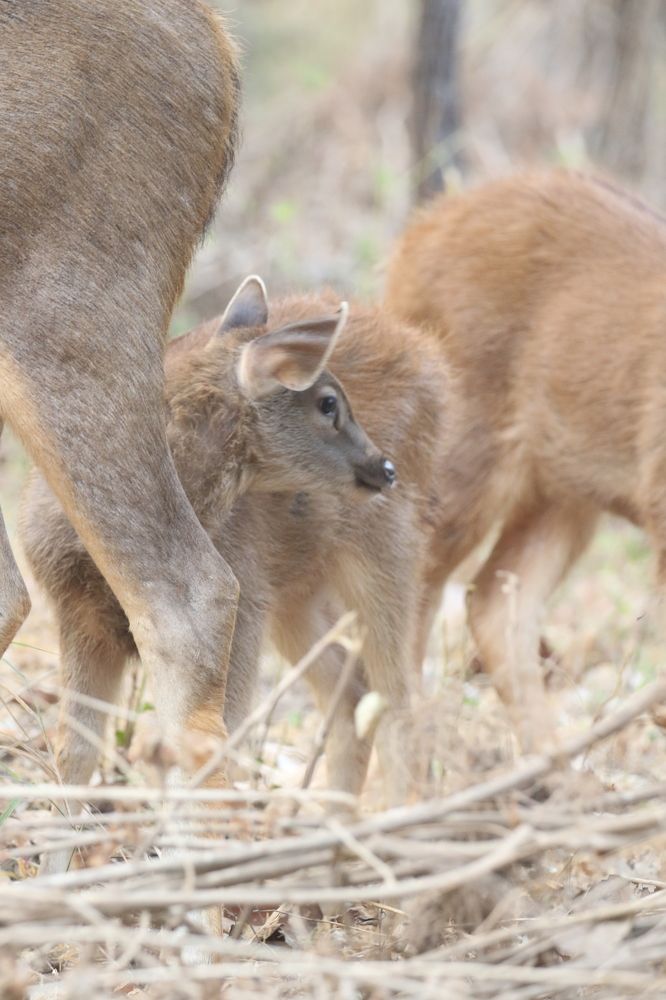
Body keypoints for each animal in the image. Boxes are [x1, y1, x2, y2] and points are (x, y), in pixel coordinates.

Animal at [21, 275, 448, 874]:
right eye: (328, 403)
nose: (384, 467)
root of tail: (428, 353)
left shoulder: (238, 606)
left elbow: (221, 746)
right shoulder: (77, 616)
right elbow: (75, 753)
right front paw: (54, 875)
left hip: (388, 549)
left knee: (400, 697)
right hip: (294, 597)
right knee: (352, 691)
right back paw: (330, 855)